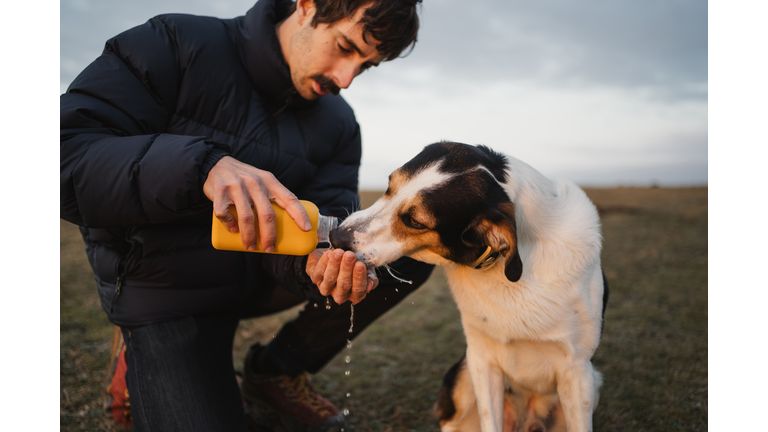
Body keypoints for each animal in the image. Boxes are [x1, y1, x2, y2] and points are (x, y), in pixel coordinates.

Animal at [332, 143, 608, 432]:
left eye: (416, 222)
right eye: (389, 187)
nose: (335, 237)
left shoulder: (577, 371)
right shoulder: (481, 360)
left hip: (593, 381)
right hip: (462, 376)